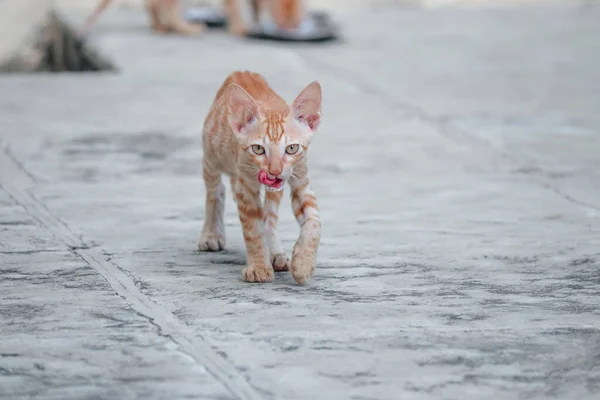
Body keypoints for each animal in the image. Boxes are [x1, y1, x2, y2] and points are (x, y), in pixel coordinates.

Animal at [200, 72, 324, 284]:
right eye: (258, 149)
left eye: (292, 148)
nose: (274, 171)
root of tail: (240, 72)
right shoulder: (245, 186)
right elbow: (253, 230)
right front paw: (258, 267)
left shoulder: (300, 178)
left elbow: (313, 220)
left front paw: (304, 263)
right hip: (212, 157)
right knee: (215, 192)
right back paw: (211, 234)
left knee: (269, 215)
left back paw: (276, 253)